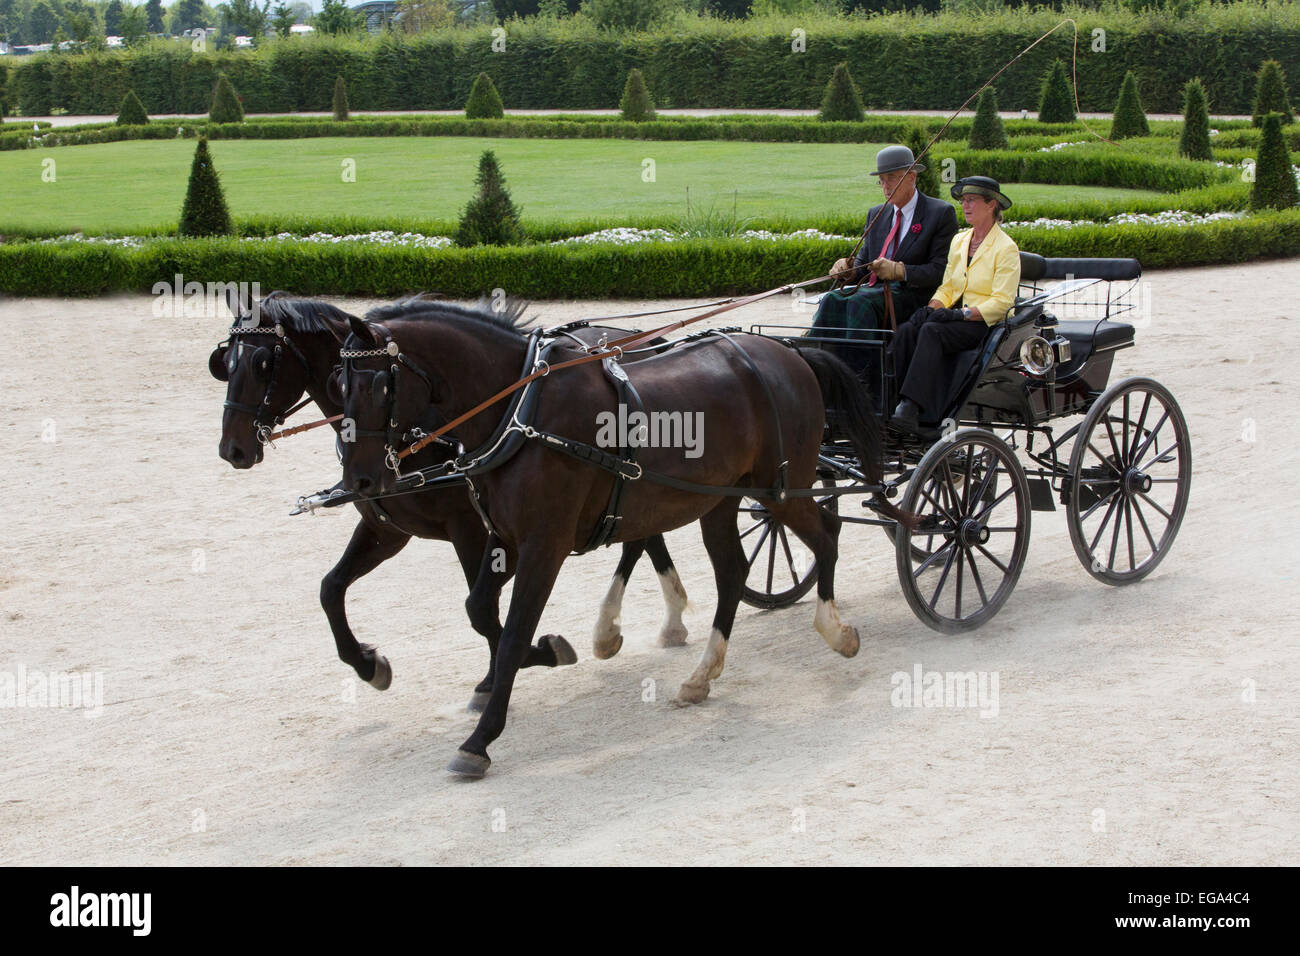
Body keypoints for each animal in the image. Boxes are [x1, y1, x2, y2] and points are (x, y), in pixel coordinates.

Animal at [215, 290, 691, 712]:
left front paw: (514, 667)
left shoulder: (475, 532)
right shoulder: (387, 530)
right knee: (645, 535)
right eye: (226, 363)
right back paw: (654, 622)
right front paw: (368, 663)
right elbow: (331, 589)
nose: (232, 449)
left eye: (261, 363)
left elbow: (482, 608)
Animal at [335, 300, 904, 780]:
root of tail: (789, 351)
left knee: (826, 536)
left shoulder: (544, 544)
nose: (360, 481)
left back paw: (835, 630)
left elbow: (514, 630)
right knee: (733, 572)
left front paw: (481, 737)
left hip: (781, 488)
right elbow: (480, 609)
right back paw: (702, 673)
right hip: (722, 499)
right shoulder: (505, 537)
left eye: (379, 386)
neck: (521, 408)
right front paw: (540, 657)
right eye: (339, 386)